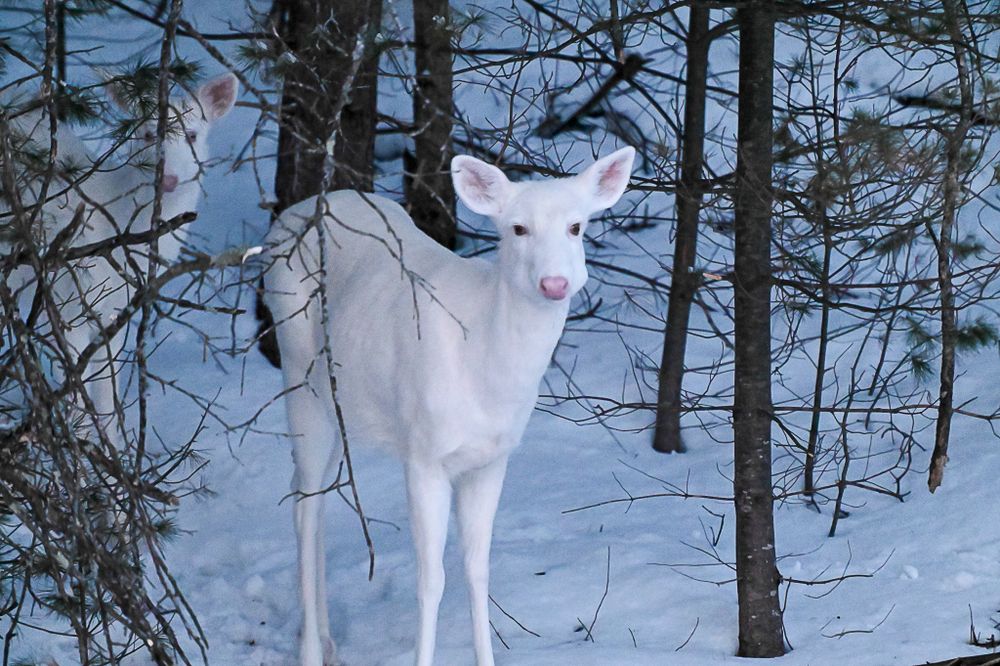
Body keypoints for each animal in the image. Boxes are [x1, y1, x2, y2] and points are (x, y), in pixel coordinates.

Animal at [3, 73, 238, 442]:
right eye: (147, 133)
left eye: (193, 134)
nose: (169, 179)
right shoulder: (68, 297)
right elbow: (78, 388)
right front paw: (85, 446)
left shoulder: (115, 308)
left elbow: (106, 391)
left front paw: (112, 445)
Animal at [261, 146, 635, 666]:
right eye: (517, 228)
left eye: (577, 226)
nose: (555, 283)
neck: (486, 373)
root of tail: (283, 223)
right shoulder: (424, 453)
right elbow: (431, 579)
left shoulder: (492, 459)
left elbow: (477, 569)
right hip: (300, 375)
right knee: (305, 507)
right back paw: (312, 650)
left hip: (343, 407)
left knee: (310, 498)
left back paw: (327, 640)